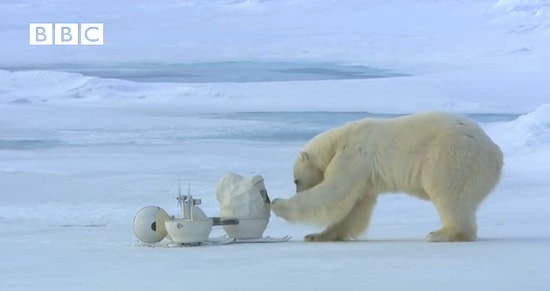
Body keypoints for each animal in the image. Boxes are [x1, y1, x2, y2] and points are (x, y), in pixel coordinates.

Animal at [272, 113, 504, 243]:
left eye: (296, 180)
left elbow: (335, 191)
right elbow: (356, 208)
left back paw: (441, 234)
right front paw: (317, 236)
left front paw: (277, 204)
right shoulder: (364, 175)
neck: (338, 140)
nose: (298, 189)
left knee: (449, 195)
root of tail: (495, 153)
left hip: (452, 157)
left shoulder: (354, 155)